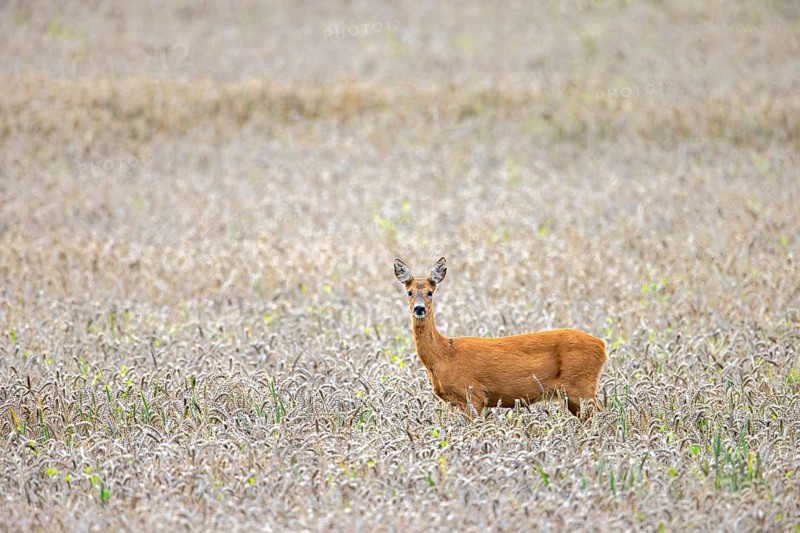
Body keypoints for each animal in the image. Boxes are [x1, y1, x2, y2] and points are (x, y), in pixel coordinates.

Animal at [394, 257, 607, 417]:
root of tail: (602, 345)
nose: (419, 309)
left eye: (430, 292)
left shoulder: (473, 395)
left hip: (581, 386)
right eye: (409, 292)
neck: (444, 354)